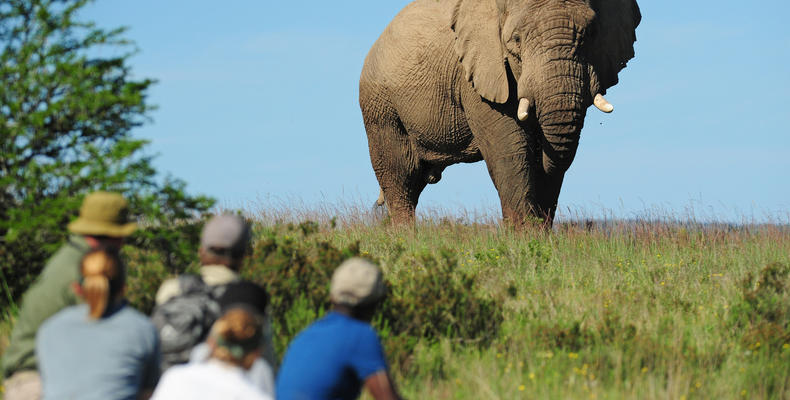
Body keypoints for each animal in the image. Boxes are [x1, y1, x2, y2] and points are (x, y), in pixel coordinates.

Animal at [362, 0, 640, 227]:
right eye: (516, 39)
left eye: (592, 34)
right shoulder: (479, 75)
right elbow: (511, 152)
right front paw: (525, 239)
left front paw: (540, 236)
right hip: (380, 107)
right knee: (400, 177)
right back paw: (406, 236)